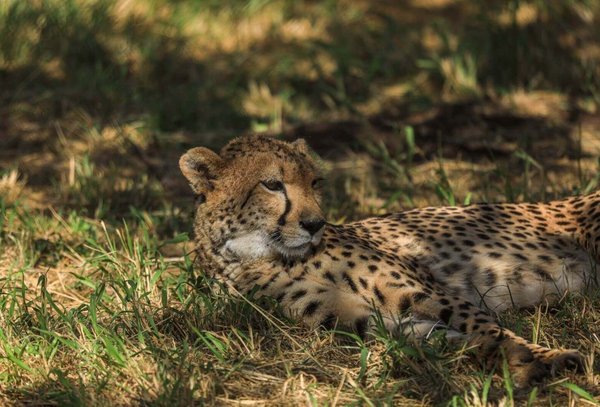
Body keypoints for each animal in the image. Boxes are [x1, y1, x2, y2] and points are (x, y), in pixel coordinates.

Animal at [180, 135, 596, 388]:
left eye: (315, 183)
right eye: (272, 185)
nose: (315, 224)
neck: (258, 256)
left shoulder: (421, 290)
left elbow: (487, 326)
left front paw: (547, 356)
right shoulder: (359, 319)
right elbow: (448, 338)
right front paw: (517, 362)